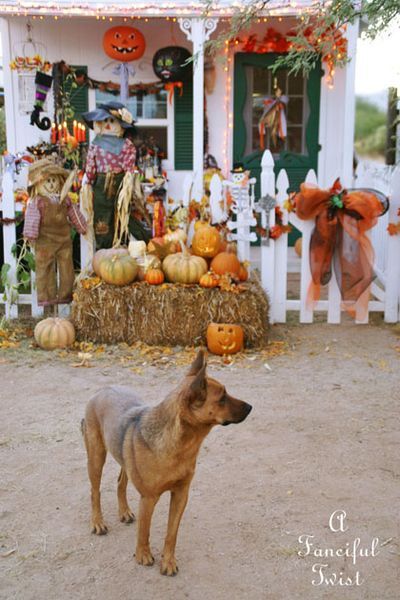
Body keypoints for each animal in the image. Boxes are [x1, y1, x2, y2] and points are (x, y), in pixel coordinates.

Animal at [81, 350, 252, 576]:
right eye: (222, 398)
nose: (251, 407)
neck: (179, 445)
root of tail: (102, 390)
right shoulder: (148, 499)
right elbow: (144, 531)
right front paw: (143, 555)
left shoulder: (180, 495)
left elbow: (172, 534)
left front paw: (168, 562)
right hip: (96, 457)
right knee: (95, 491)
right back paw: (97, 523)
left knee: (120, 482)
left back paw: (124, 512)